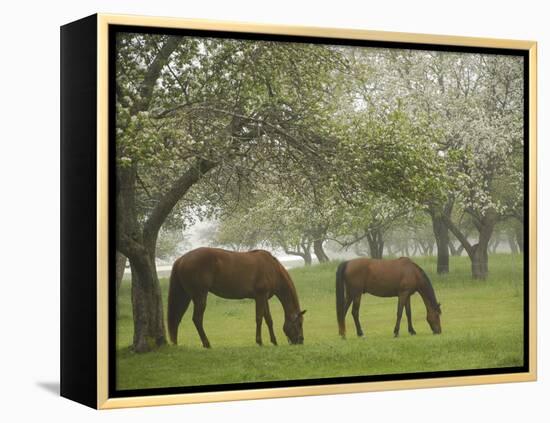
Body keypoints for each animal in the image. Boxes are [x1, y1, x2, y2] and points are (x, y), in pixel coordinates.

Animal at [166, 247, 308, 350]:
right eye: (299, 324)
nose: (301, 341)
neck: (272, 268)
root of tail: (181, 259)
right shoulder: (260, 296)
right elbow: (259, 318)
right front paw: (259, 341)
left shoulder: (264, 298)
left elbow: (268, 319)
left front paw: (274, 341)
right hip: (199, 296)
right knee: (197, 319)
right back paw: (207, 344)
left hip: (185, 296)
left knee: (177, 319)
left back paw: (176, 344)